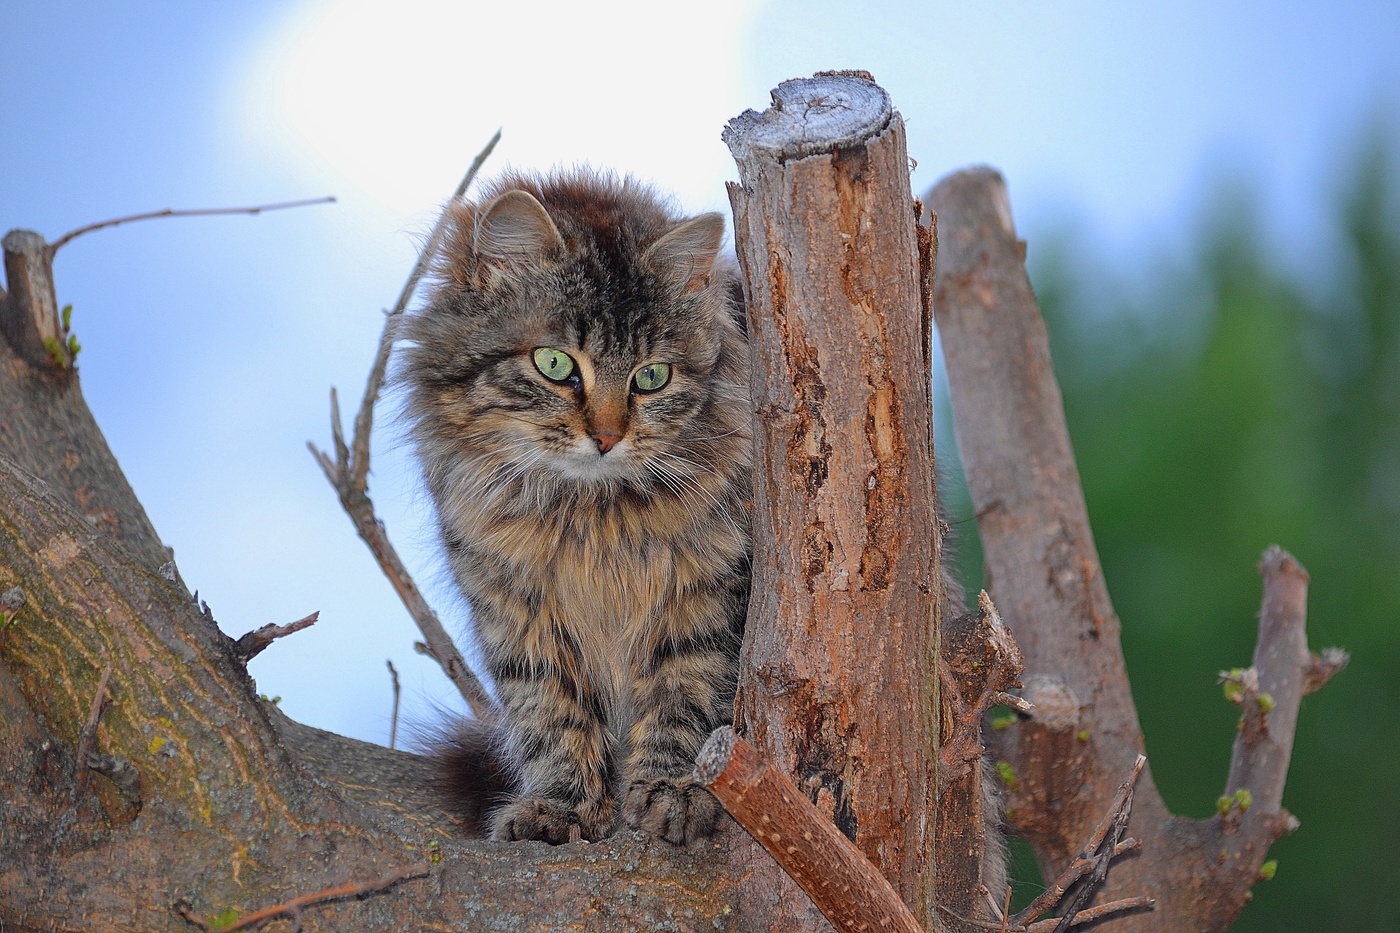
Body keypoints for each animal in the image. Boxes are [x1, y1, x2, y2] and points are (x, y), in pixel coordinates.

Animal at [403, 167, 756, 840]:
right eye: (554, 363)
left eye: (652, 377)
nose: (608, 437)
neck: (587, 515)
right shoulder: (519, 612)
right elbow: (553, 717)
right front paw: (562, 807)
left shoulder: (707, 596)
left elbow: (688, 696)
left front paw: (674, 790)